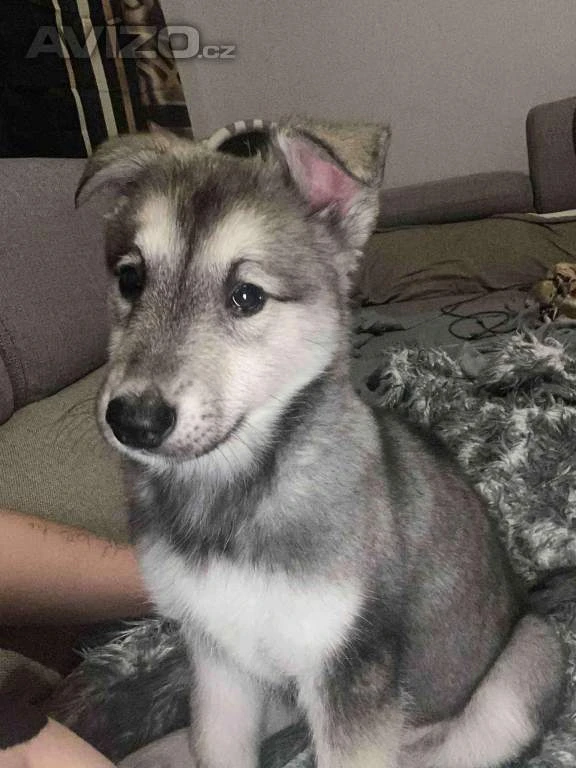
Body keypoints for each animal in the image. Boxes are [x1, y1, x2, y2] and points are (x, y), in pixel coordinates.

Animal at [77, 120, 568, 768]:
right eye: (130, 278)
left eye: (247, 296)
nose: (133, 420)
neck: (232, 494)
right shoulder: (218, 664)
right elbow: (220, 745)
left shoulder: (350, 672)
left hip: (525, 665)